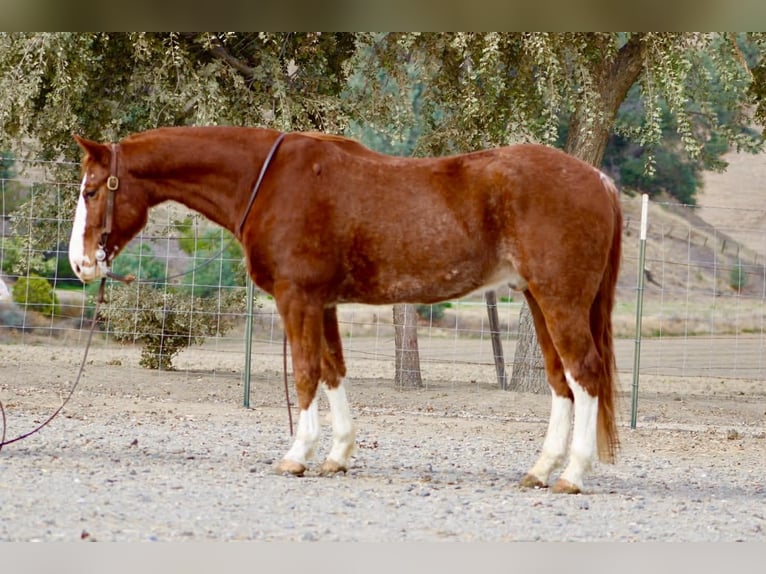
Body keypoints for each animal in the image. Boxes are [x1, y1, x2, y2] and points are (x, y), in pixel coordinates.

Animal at [68, 126, 622, 494]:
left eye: (91, 190)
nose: (80, 263)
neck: (269, 181)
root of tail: (598, 178)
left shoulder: (296, 298)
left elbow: (305, 374)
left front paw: (296, 456)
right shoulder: (325, 303)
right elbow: (333, 371)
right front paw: (336, 456)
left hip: (560, 300)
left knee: (584, 373)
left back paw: (572, 475)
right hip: (537, 299)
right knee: (560, 380)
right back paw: (541, 470)